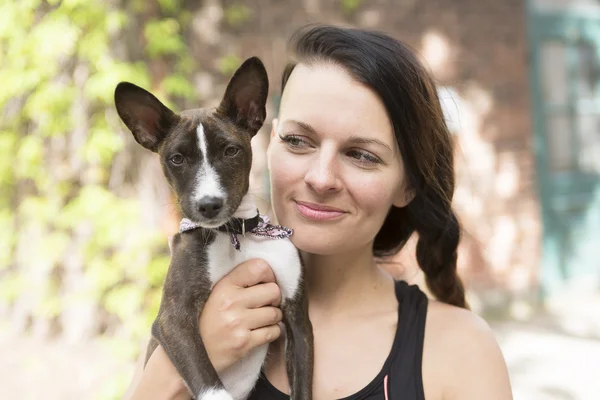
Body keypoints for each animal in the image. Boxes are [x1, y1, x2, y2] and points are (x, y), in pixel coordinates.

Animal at [113, 57, 314, 400]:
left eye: (230, 151)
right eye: (177, 159)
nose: (209, 204)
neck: (236, 235)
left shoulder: (299, 322)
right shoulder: (173, 319)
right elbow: (211, 386)